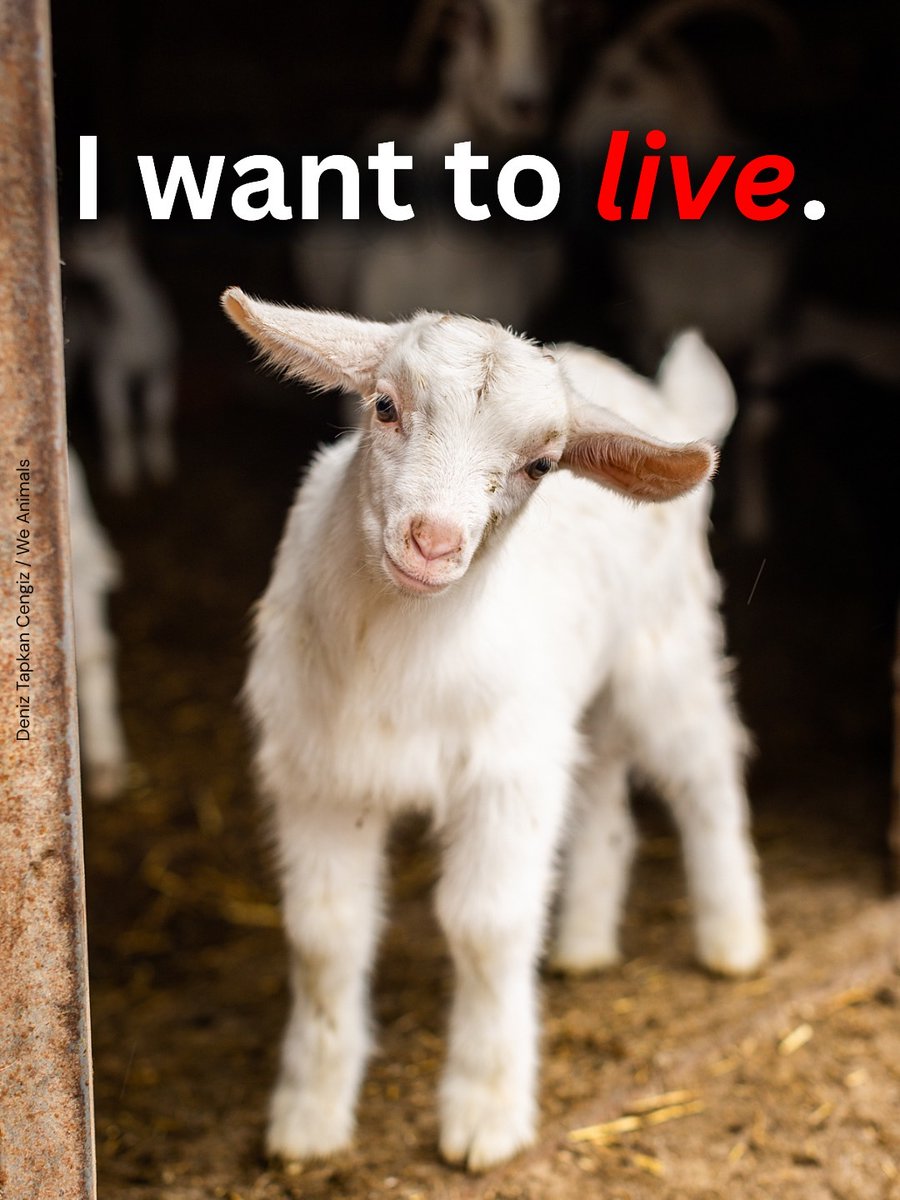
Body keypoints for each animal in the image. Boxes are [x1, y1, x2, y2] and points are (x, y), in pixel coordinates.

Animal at [222, 289, 767, 1171]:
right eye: (384, 406)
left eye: (541, 464)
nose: (434, 542)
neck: (399, 658)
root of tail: (647, 394)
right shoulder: (319, 777)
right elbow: (324, 936)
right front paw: (308, 1117)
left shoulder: (504, 776)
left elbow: (486, 928)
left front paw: (484, 1113)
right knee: (606, 808)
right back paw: (584, 944)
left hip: (666, 650)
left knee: (706, 778)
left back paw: (733, 940)